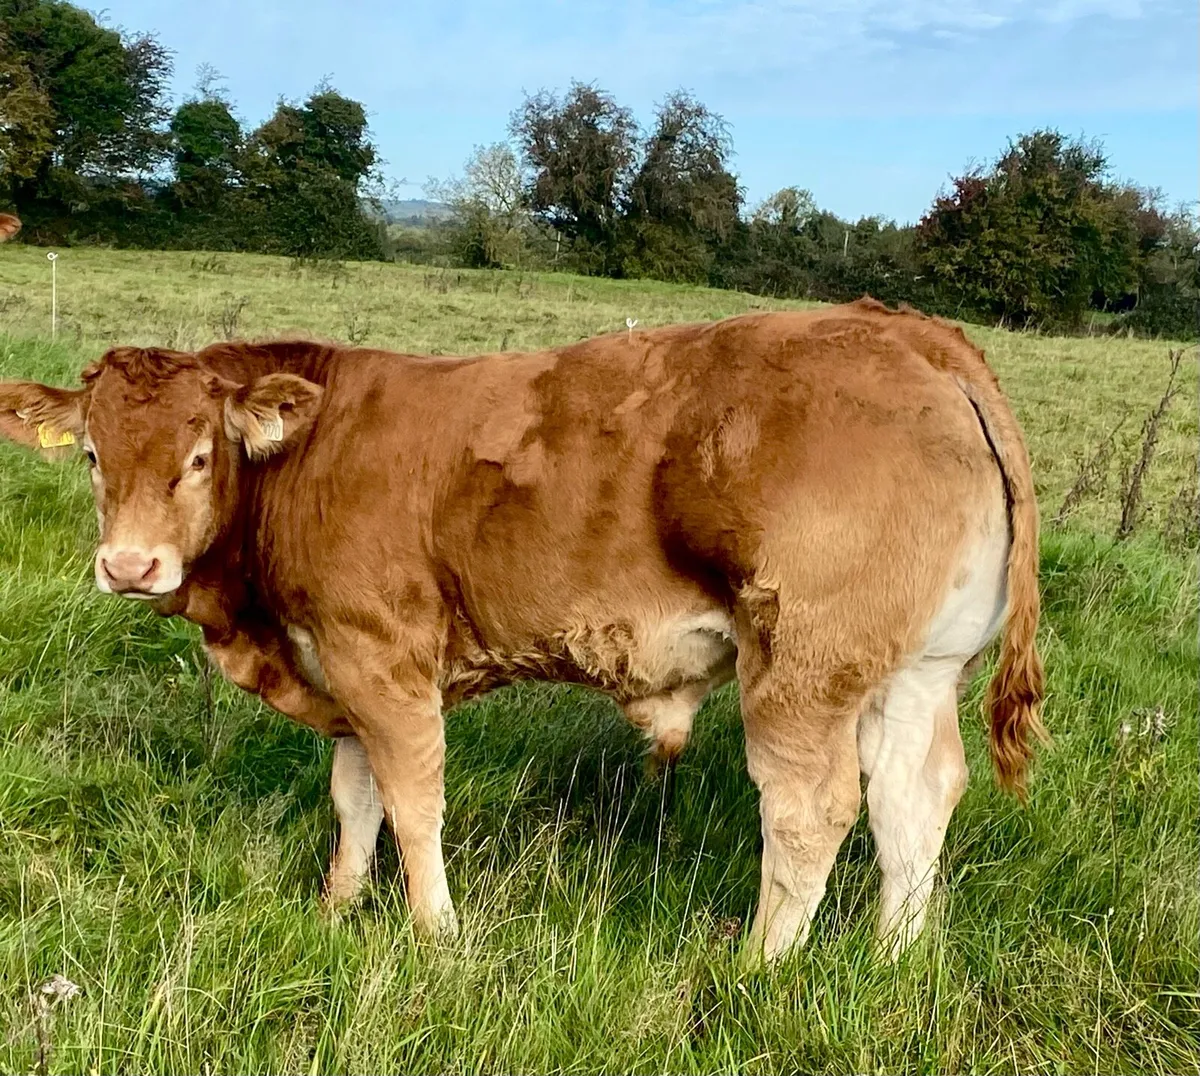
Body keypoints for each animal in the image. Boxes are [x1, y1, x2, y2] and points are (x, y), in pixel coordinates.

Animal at [0, 299, 1044, 961]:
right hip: (914, 671)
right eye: (91, 455)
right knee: (915, 799)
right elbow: (355, 799)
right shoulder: (340, 664)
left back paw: (759, 966)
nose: (129, 566)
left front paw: (435, 936)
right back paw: (893, 957)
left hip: (801, 668)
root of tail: (909, 332)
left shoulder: (380, 659)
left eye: (199, 456)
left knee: (812, 809)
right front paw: (338, 908)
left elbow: (412, 803)